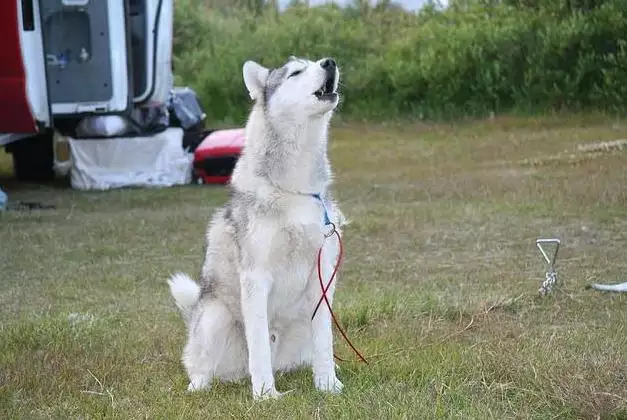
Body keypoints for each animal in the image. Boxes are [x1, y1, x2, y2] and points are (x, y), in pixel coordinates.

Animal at [169, 55, 348, 400]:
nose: (330, 62)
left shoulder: (322, 279)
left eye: (315, 61)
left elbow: (325, 342)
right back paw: (198, 385)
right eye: (296, 71)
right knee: (200, 365)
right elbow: (260, 346)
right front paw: (265, 395)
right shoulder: (255, 277)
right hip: (214, 317)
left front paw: (328, 385)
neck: (297, 189)